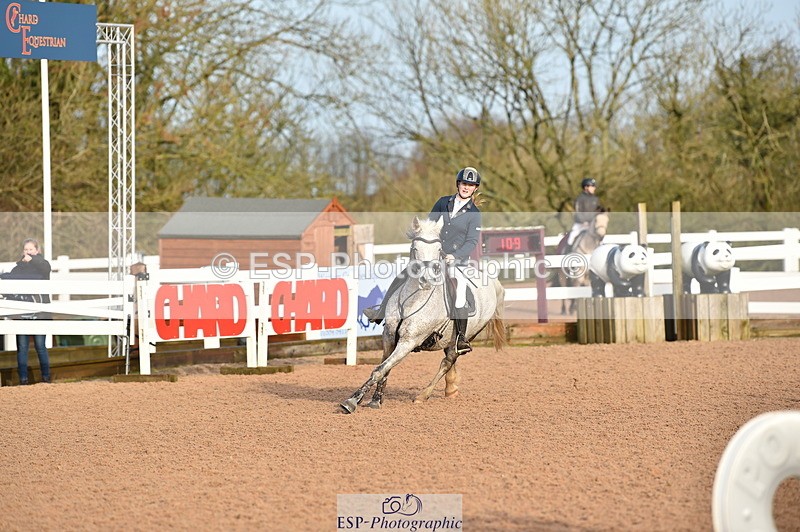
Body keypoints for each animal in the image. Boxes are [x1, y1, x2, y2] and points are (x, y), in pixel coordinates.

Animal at [339, 216, 507, 414]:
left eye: (439, 249)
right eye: (415, 248)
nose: (426, 280)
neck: (413, 299)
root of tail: (492, 282)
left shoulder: (408, 341)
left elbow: (380, 369)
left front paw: (352, 401)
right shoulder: (389, 335)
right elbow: (385, 367)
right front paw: (376, 400)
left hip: (468, 335)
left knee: (448, 361)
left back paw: (423, 395)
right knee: (449, 360)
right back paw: (450, 388)